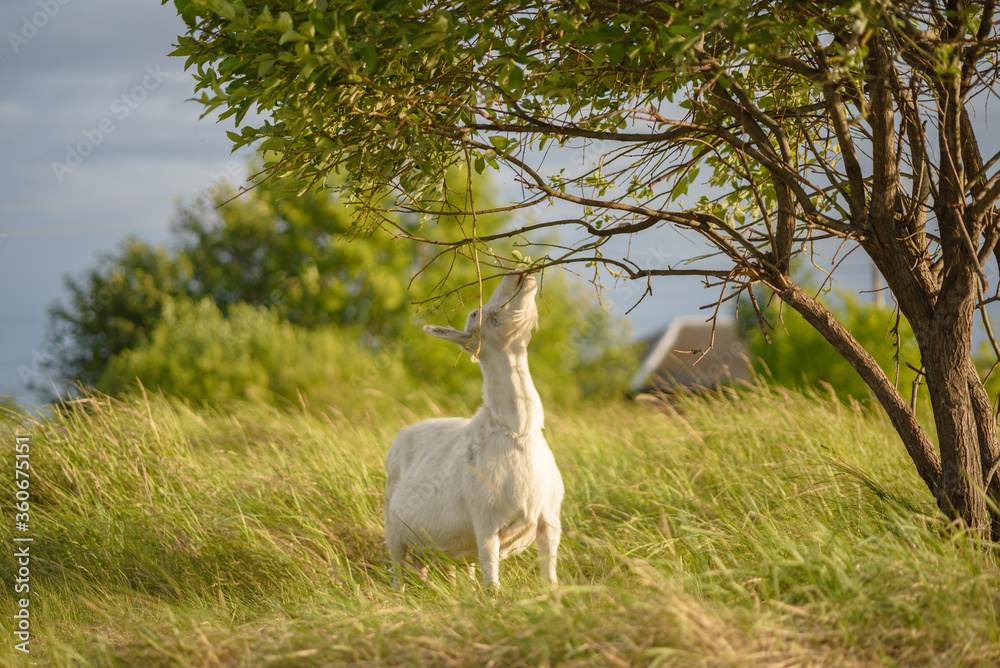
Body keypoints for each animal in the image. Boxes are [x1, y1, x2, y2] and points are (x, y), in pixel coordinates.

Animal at [384, 270, 564, 590]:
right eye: (474, 313)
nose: (517, 274)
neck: (517, 431)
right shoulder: (486, 523)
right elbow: (492, 586)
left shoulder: (550, 520)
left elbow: (550, 580)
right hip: (392, 525)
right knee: (398, 570)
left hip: (445, 545)